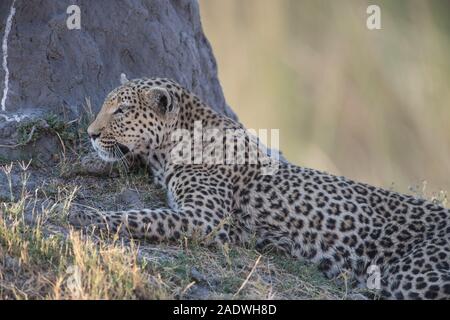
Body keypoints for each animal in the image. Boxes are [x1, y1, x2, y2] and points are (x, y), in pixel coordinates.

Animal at [67, 77, 450, 300]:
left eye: (121, 110)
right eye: (105, 106)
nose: (91, 133)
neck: (172, 145)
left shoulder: (205, 219)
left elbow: (140, 216)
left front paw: (85, 214)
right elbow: (127, 166)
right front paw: (86, 164)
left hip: (412, 276)